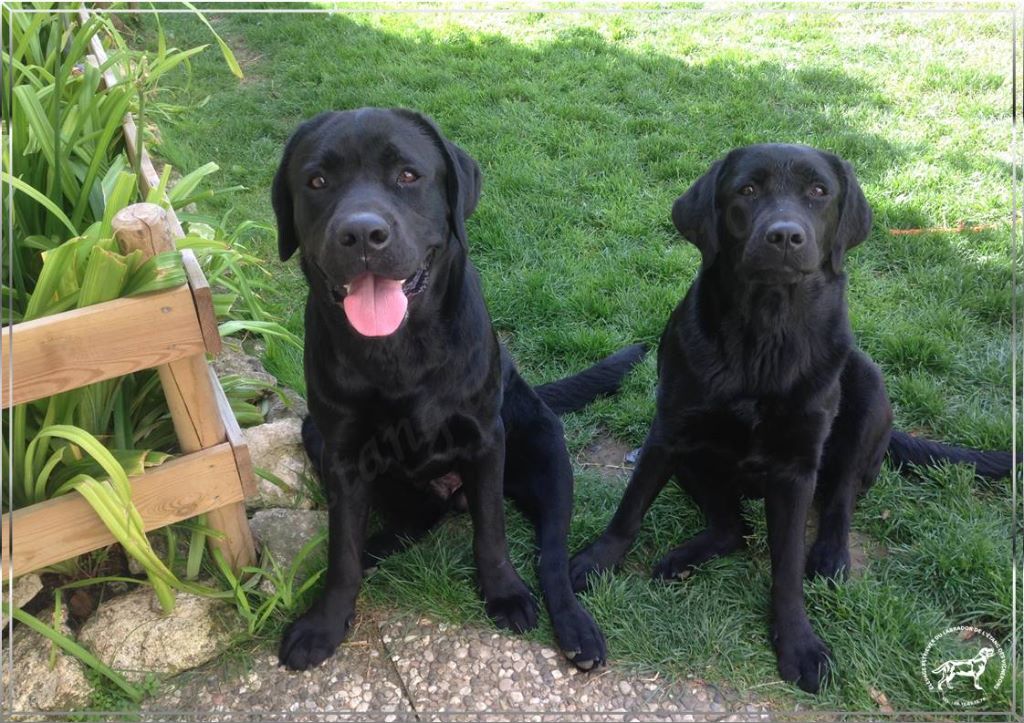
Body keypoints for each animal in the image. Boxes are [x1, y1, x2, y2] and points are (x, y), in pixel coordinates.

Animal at [268, 107, 643, 671]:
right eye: (317, 182)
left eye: (408, 175)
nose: (362, 234)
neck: (398, 352)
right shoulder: (342, 455)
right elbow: (341, 551)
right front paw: (325, 620)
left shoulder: (485, 440)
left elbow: (491, 531)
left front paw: (504, 593)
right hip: (315, 433)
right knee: (411, 519)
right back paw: (375, 549)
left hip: (549, 459)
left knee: (552, 558)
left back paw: (576, 626)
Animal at [573, 143, 1011, 688]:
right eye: (747, 189)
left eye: (819, 191)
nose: (784, 235)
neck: (765, 334)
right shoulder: (668, 432)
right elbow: (629, 509)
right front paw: (592, 563)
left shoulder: (797, 469)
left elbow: (785, 567)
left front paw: (798, 642)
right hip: (697, 459)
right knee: (732, 528)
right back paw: (685, 558)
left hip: (867, 388)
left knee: (840, 499)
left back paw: (830, 556)